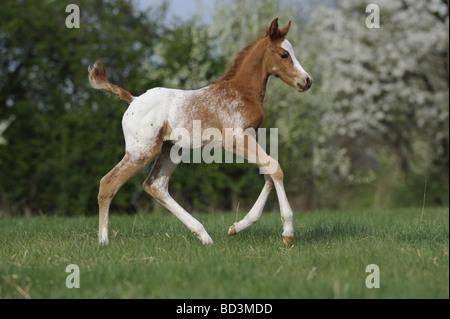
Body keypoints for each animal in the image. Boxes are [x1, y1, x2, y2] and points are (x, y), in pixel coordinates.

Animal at [89, 18, 312, 246]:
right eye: (284, 54)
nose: (307, 80)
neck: (243, 92)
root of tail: (132, 99)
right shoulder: (236, 139)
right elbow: (275, 168)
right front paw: (287, 231)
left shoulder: (249, 137)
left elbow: (267, 173)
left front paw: (237, 227)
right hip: (141, 151)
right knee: (108, 184)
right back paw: (103, 241)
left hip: (170, 150)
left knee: (156, 185)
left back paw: (204, 236)